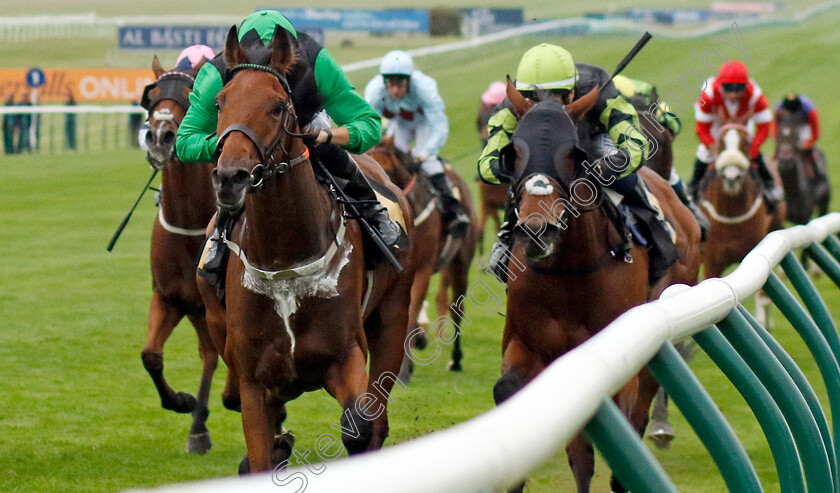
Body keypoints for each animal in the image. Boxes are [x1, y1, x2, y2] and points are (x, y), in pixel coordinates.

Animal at [200, 26, 416, 472]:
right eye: (220, 102)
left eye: (278, 105)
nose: (230, 178)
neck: (284, 258)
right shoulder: (253, 379)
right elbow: (259, 454)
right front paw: (275, 447)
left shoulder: (345, 355)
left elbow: (359, 425)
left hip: (392, 316)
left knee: (379, 418)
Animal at [496, 81, 700, 492]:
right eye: (514, 152)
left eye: (571, 154)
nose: (538, 231)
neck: (568, 275)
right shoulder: (528, 347)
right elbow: (510, 393)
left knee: (642, 407)